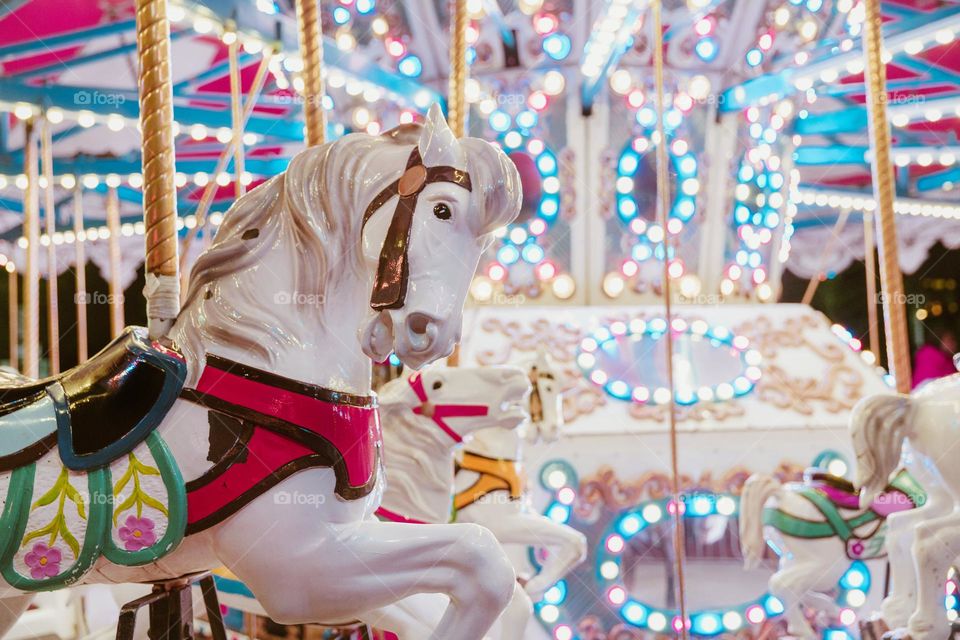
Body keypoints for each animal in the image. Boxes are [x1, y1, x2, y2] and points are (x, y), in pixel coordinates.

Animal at [0, 104, 523, 640]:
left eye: (487, 242)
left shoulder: (350, 534)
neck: (263, 365)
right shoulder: (296, 569)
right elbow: (484, 559)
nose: (430, 333)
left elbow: (485, 583)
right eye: (442, 211)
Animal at [453, 351, 587, 604]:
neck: (491, 450)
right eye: (548, 387)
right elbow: (576, 542)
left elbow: (574, 539)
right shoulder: (499, 524)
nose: (554, 430)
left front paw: (533, 583)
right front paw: (535, 587)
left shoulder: (521, 513)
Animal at [739, 466, 925, 639]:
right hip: (827, 564)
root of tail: (782, 495)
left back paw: (829, 609)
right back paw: (804, 630)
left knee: (791, 585)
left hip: (796, 558)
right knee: (781, 583)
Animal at [851, 373, 960, 640]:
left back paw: (900, 613)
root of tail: (919, 406)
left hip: (939, 495)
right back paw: (927, 628)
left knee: (902, 528)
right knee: (929, 542)